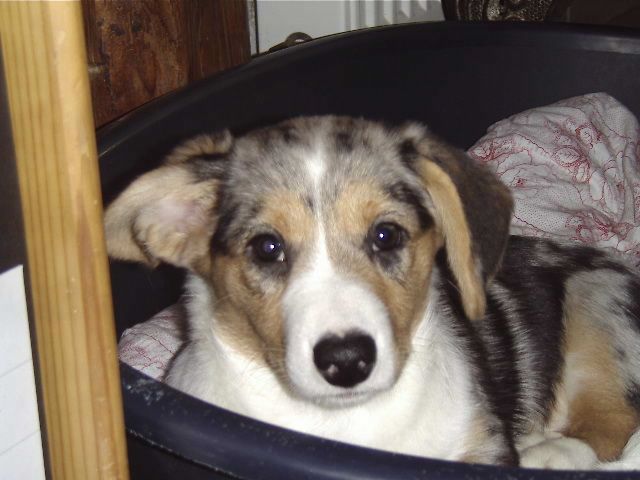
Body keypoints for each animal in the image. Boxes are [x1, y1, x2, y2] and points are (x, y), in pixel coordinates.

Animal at [105, 116, 640, 469]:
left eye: (387, 235)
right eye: (266, 248)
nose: (346, 360)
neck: (339, 424)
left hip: (597, 310)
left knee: (614, 424)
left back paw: (549, 453)